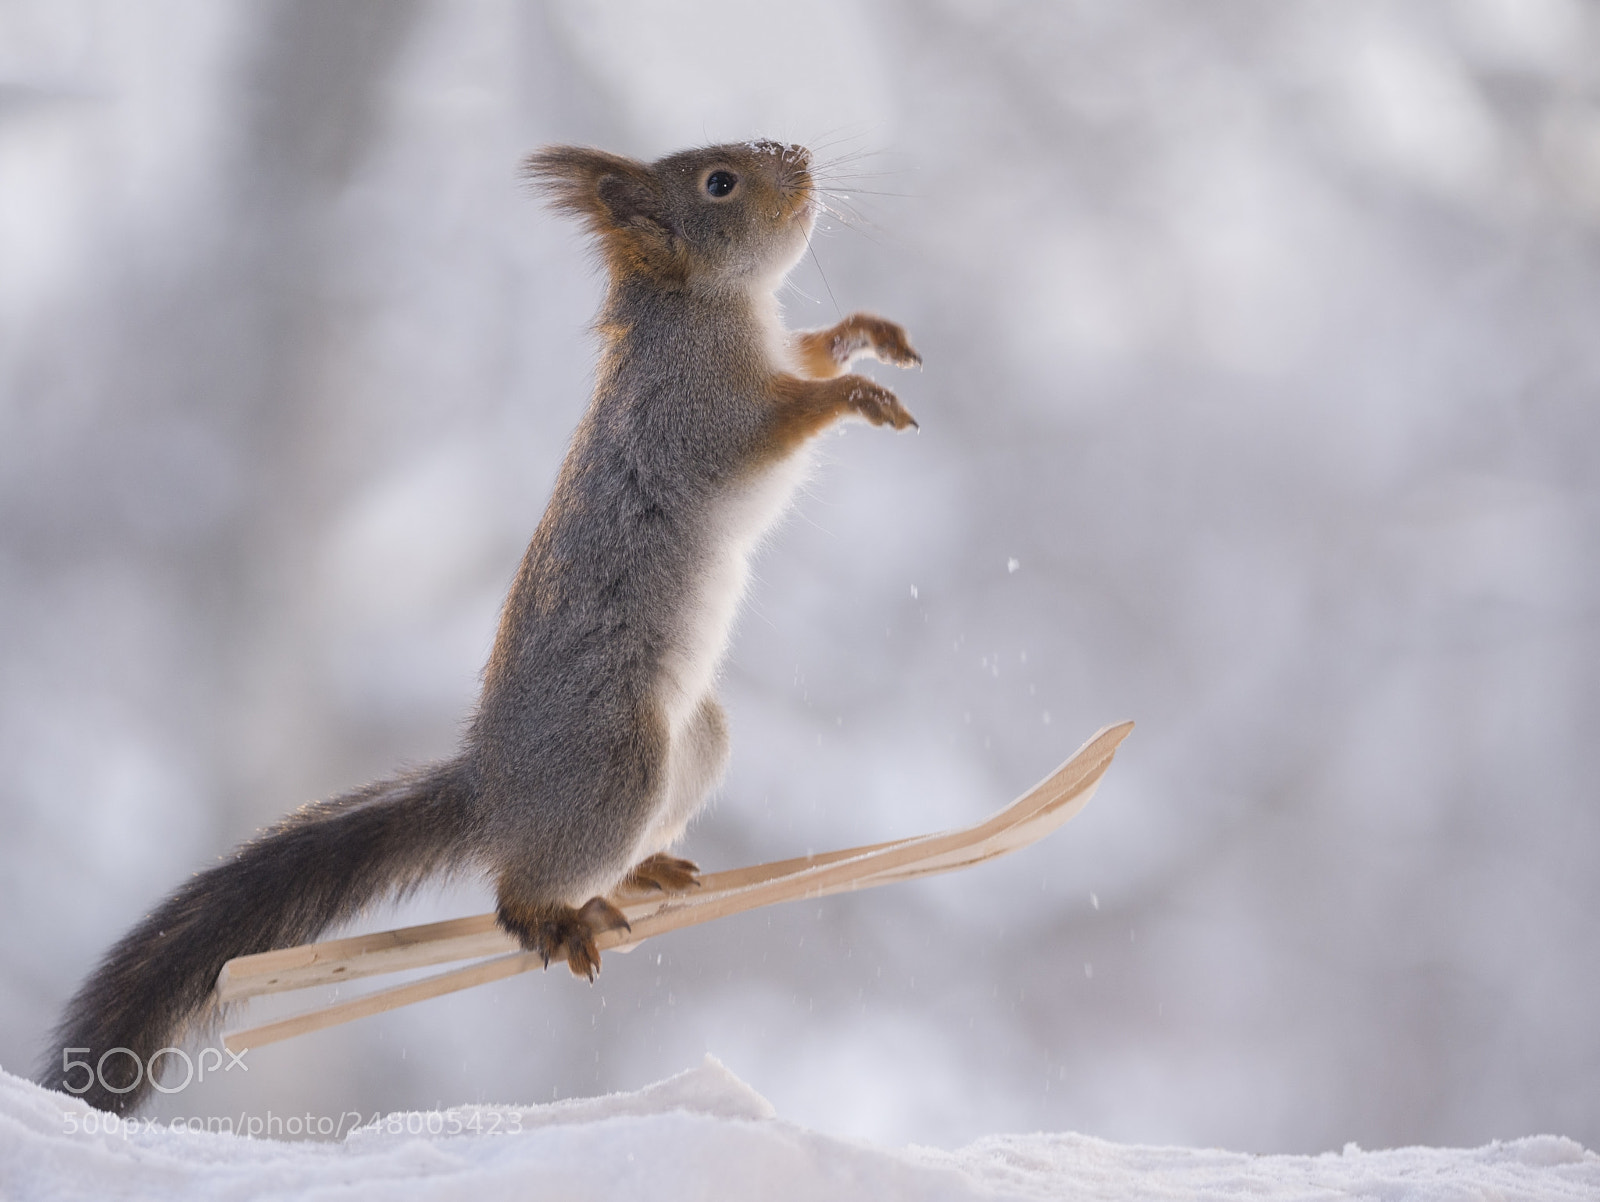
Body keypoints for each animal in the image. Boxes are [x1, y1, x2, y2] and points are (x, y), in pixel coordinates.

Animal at [40, 139, 921, 1115]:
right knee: (513, 897)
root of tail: (496, 788)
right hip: (615, 762)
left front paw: (860, 335)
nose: (798, 154)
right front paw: (854, 392)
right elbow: (774, 424)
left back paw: (642, 870)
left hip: (696, 742)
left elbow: (806, 353)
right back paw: (553, 920)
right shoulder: (691, 416)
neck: (710, 306)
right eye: (719, 184)